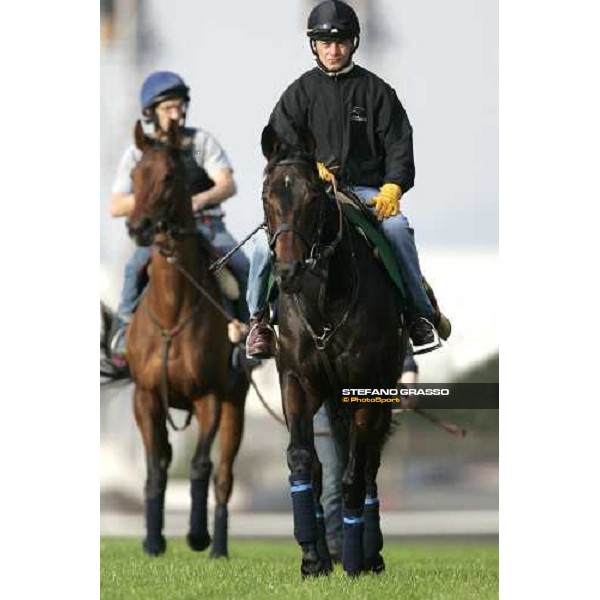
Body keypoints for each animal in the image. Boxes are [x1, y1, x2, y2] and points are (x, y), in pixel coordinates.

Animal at [126, 120, 248, 556]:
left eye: (168, 177)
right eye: (134, 175)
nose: (139, 227)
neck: (172, 311)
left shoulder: (209, 395)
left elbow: (200, 464)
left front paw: (197, 535)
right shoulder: (145, 396)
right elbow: (155, 467)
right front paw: (152, 541)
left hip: (235, 404)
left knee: (224, 476)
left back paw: (218, 547)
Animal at [260, 125, 406, 576]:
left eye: (312, 196)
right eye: (267, 195)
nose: (287, 271)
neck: (324, 301)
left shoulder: (366, 390)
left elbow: (355, 474)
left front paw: (355, 559)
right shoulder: (297, 381)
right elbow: (303, 460)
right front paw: (312, 556)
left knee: (370, 466)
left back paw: (370, 552)